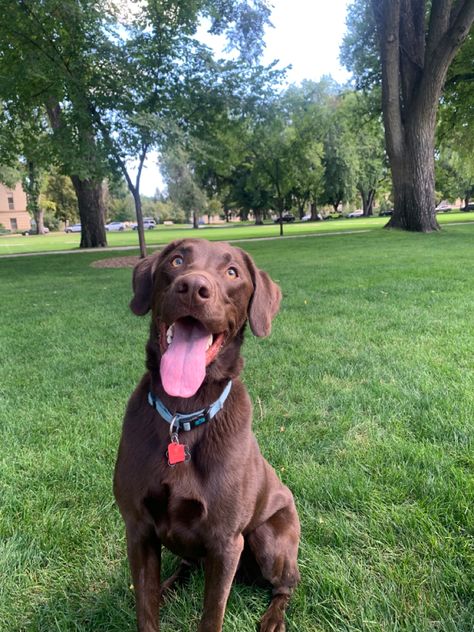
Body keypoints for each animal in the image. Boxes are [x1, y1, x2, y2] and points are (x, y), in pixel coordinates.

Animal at [114, 239, 300, 628]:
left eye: (232, 272)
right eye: (176, 260)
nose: (192, 286)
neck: (182, 414)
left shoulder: (225, 541)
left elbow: (211, 615)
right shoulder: (138, 528)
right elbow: (145, 609)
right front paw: (154, 599)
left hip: (268, 539)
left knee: (288, 583)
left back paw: (274, 617)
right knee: (186, 565)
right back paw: (168, 587)